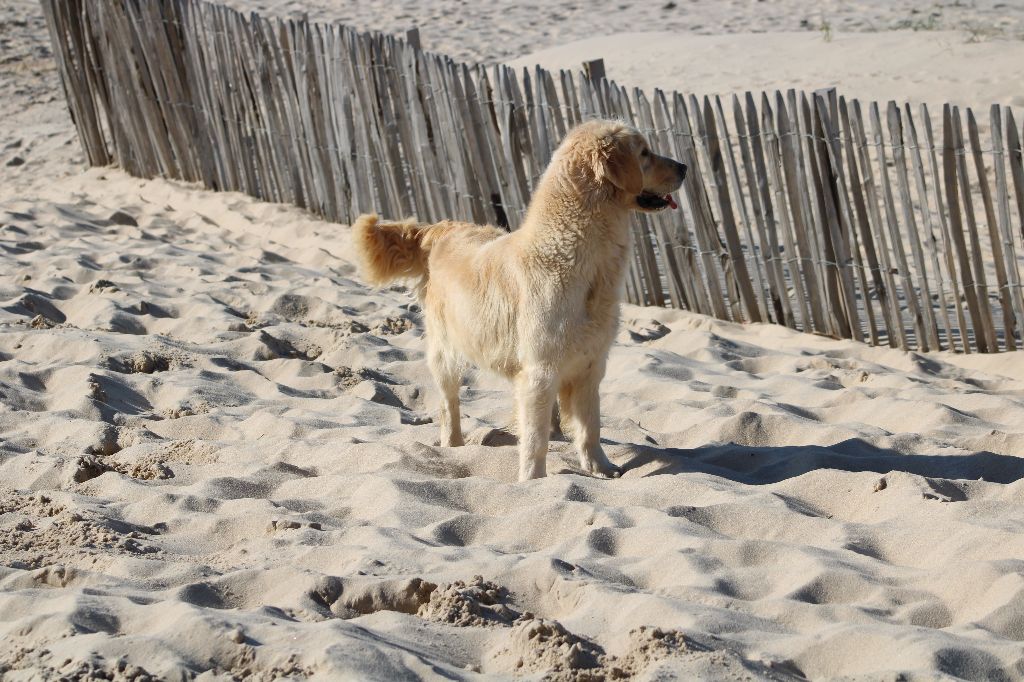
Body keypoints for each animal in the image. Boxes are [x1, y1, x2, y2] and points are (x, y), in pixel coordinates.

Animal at [356, 118, 684, 477]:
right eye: (645, 153)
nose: (685, 167)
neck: (573, 253)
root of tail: (443, 227)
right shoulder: (540, 370)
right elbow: (535, 439)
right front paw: (534, 480)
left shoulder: (591, 364)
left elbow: (590, 427)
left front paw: (601, 468)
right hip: (446, 353)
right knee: (449, 405)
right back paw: (454, 444)